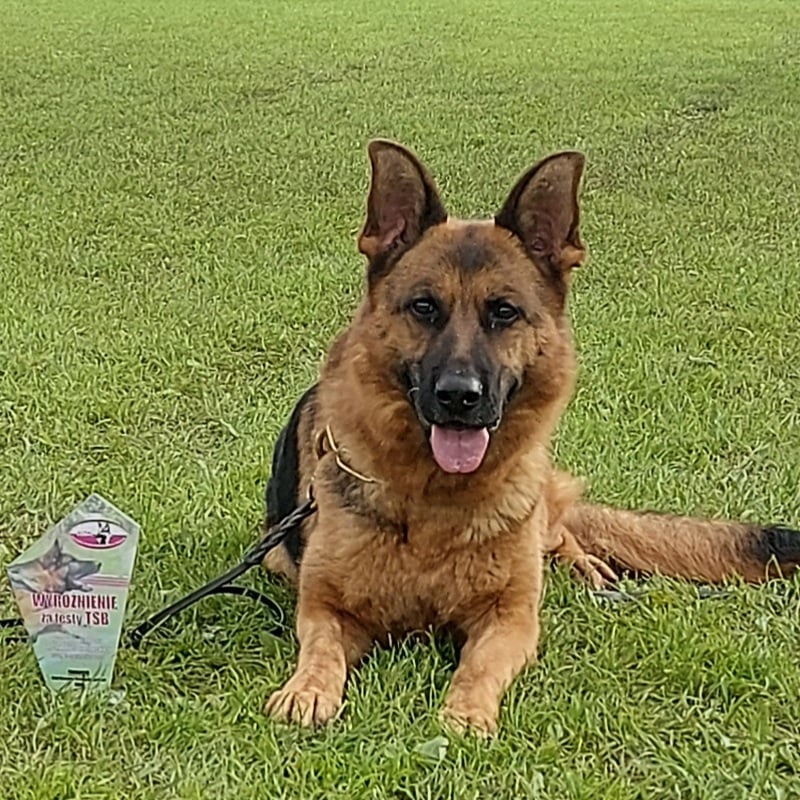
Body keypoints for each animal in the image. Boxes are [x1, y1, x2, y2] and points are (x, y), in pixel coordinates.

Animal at [261, 140, 800, 734]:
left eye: (503, 312)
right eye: (425, 307)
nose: (459, 396)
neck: (433, 506)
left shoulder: (511, 620)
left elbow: (478, 669)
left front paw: (466, 715)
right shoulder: (324, 608)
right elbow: (321, 652)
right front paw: (307, 690)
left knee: (562, 533)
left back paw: (588, 568)